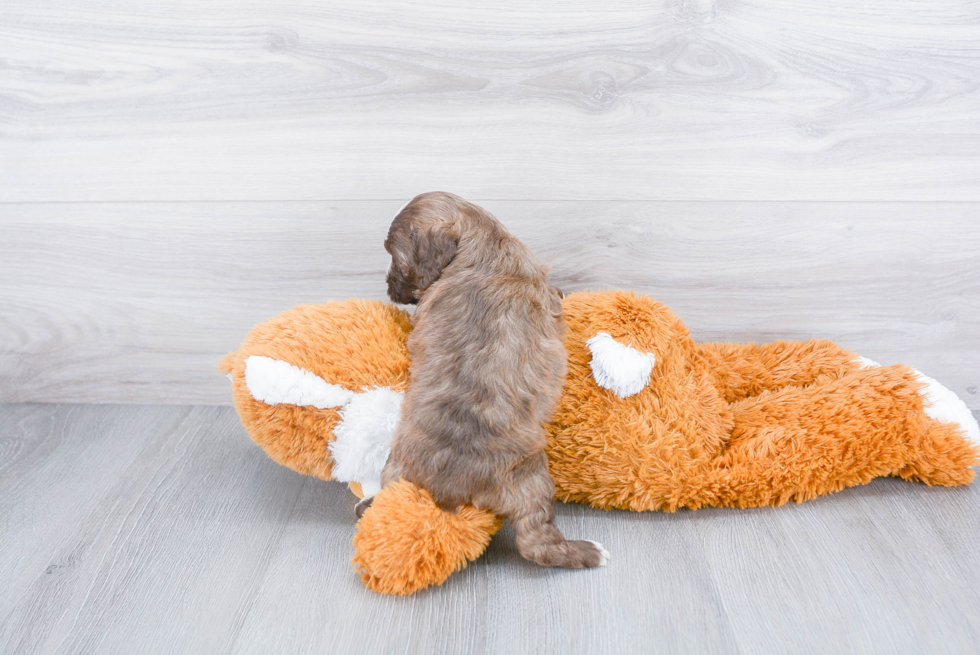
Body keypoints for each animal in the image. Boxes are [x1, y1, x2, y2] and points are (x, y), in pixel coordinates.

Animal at [372, 193, 608, 568]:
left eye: (395, 258)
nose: (389, 288)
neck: (483, 241)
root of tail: (447, 494)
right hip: (531, 480)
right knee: (536, 541)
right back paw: (586, 551)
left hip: (394, 468)